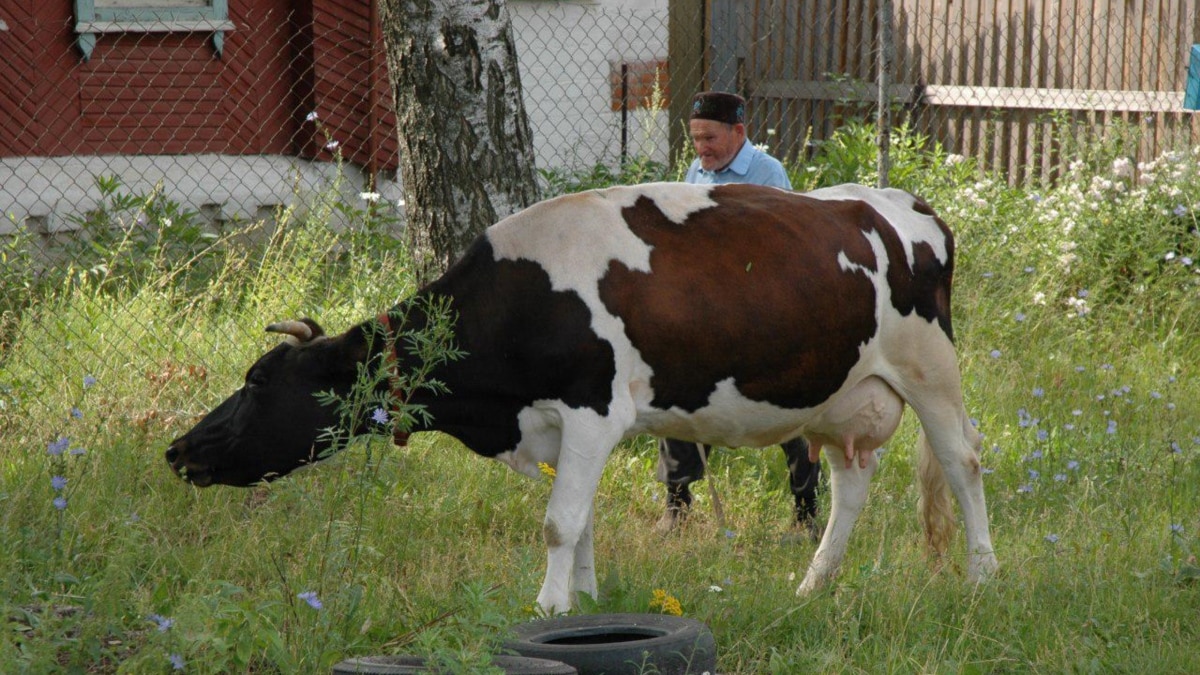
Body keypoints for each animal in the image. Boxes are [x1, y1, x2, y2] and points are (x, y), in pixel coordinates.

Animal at [164, 181, 998, 612]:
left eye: (259, 379)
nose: (179, 449)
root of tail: (904, 202)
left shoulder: (595, 407)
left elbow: (560, 521)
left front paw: (548, 607)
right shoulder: (564, 426)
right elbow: (585, 520)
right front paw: (585, 605)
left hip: (930, 368)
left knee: (963, 462)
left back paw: (983, 574)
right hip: (839, 395)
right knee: (852, 482)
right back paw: (812, 583)